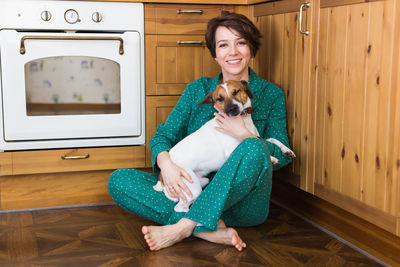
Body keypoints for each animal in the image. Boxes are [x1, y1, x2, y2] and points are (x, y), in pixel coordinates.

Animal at [152, 80, 294, 214]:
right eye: (219, 98)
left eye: (236, 91)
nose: (232, 108)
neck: (243, 121)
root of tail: (162, 179)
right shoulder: (232, 150)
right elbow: (251, 141)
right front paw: (272, 158)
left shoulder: (258, 136)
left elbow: (271, 139)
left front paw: (287, 150)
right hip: (192, 186)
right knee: (179, 208)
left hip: (202, 180)